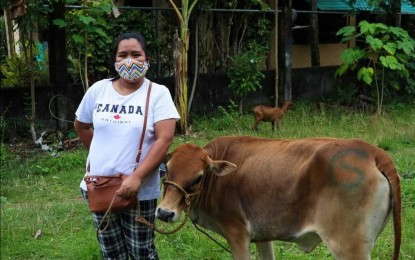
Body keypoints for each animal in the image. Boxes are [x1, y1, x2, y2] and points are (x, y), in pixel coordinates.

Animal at [155, 136, 400, 260]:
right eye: (166, 170)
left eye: (197, 177)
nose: (165, 212)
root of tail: (374, 153)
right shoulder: (263, 236)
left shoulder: (237, 233)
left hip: (349, 247)